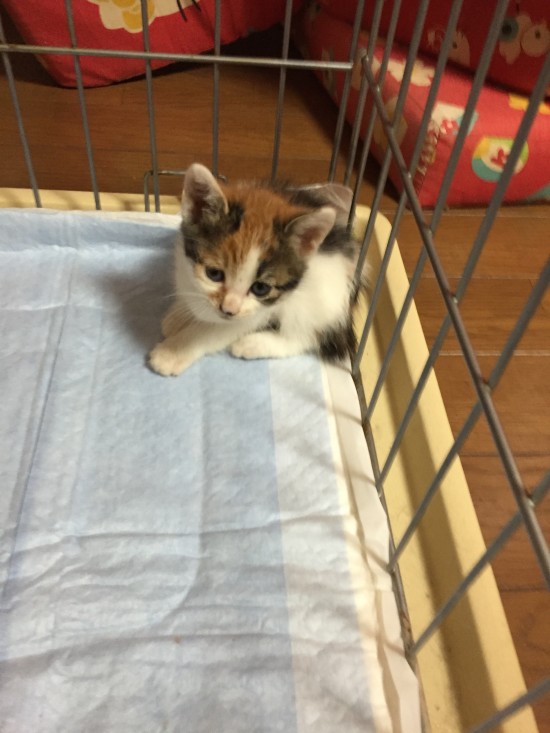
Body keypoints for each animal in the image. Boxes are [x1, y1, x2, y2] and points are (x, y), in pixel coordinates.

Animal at [148, 163, 365, 376]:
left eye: (260, 288)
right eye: (214, 274)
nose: (229, 310)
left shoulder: (257, 311)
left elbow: (211, 331)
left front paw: (173, 352)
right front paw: (179, 314)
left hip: (323, 300)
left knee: (310, 336)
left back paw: (253, 344)